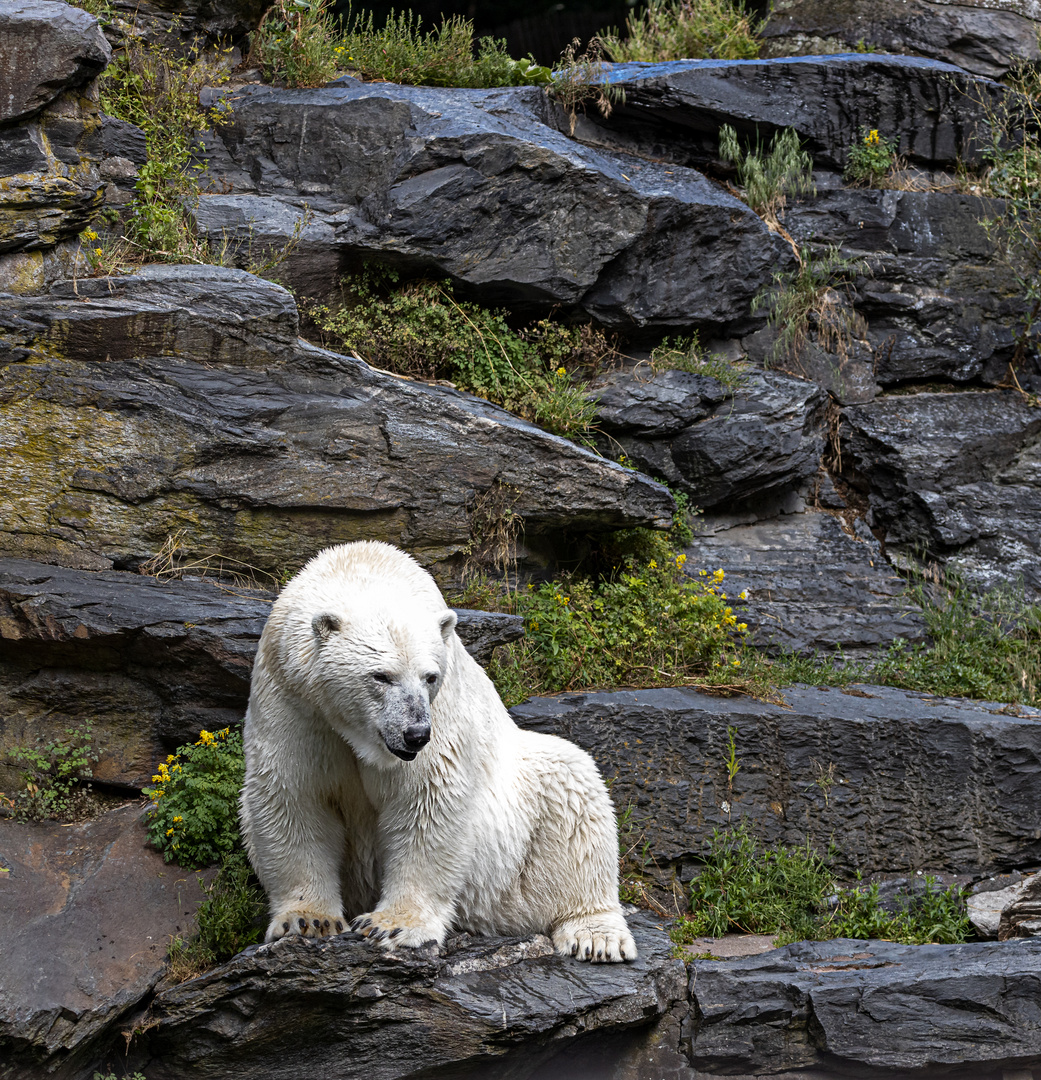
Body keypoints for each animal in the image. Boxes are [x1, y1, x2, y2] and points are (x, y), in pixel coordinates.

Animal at [240, 540, 639, 963]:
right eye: (381, 676)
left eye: (429, 677)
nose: (416, 734)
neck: (364, 565)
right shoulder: (292, 697)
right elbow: (295, 796)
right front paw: (307, 920)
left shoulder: (443, 710)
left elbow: (427, 800)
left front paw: (391, 926)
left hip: (520, 844)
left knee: (575, 797)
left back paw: (596, 935)